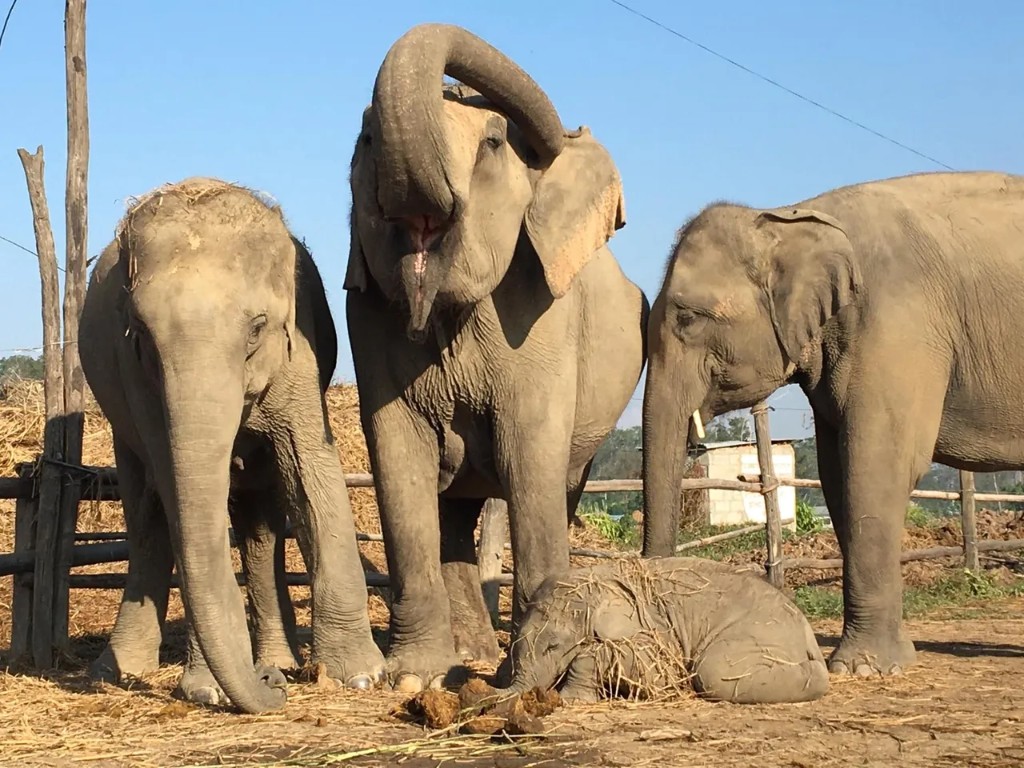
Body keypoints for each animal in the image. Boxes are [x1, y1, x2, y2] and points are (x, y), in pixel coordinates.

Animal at [79, 177, 386, 713]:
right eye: (142, 335)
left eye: (257, 327)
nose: (271, 685)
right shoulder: (138, 381)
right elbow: (178, 491)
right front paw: (209, 690)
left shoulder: (299, 351)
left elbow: (309, 471)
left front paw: (361, 677)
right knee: (148, 516)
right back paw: (117, 671)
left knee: (259, 522)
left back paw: (279, 658)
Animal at [344, 23, 649, 692]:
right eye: (367, 138)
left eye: (491, 143)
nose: (573, 131)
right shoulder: (367, 313)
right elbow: (398, 458)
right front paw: (415, 678)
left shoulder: (540, 321)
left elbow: (527, 455)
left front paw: (531, 667)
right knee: (454, 512)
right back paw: (471, 655)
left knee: (558, 487)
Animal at [498, 557, 829, 704]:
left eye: (553, 646)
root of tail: (806, 629)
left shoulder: (654, 626)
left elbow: (658, 671)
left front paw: (570, 699)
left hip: (762, 636)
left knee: (713, 671)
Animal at [641, 170, 1024, 677]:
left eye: (688, 318)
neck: (789, 214)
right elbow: (836, 474)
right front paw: (890, 659)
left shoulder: (899, 325)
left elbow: (876, 464)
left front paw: (862, 668)